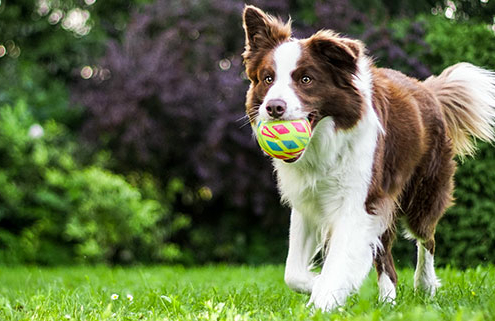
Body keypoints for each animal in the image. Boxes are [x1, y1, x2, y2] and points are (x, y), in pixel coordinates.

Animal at [241, 5, 495, 310]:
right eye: (268, 78)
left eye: (306, 79)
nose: (273, 107)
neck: (324, 143)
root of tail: (427, 90)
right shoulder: (308, 201)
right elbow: (293, 273)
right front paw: (322, 286)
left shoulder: (358, 201)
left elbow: (338, 261)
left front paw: (323, 300)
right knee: (386, 256)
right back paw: (388, 301)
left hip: (423, 192)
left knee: (427, 238)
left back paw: (425, 285)